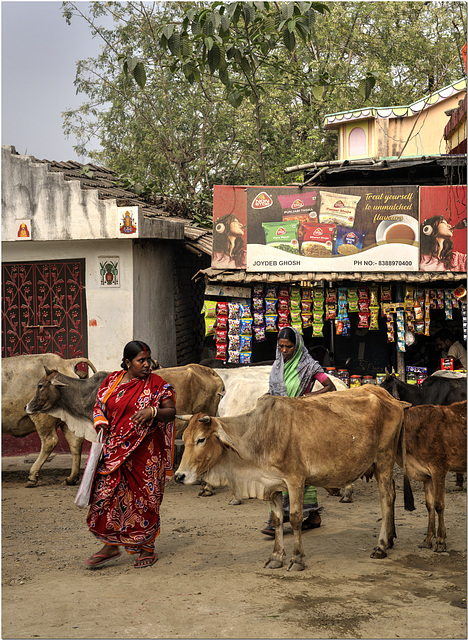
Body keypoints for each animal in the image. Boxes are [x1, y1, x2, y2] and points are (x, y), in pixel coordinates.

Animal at [175, 384, 410, 568]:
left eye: (201, 439)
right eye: (184, 438)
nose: (179, 476)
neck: (259, 435)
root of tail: (389, 397)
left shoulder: (295, 481)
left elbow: (295, 519)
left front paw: (297, 559)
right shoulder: (273, 485)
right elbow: (278, 520)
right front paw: (276, 556)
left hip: (384, 460)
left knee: (387, 498)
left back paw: (381, 546)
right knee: (392, 492)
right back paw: (390, 539)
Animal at [398, 402, 468, 552]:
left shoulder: (438, 469)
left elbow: (439, 505)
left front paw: (441, 541)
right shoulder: (426, 475)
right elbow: (429, 505)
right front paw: (428, 539)